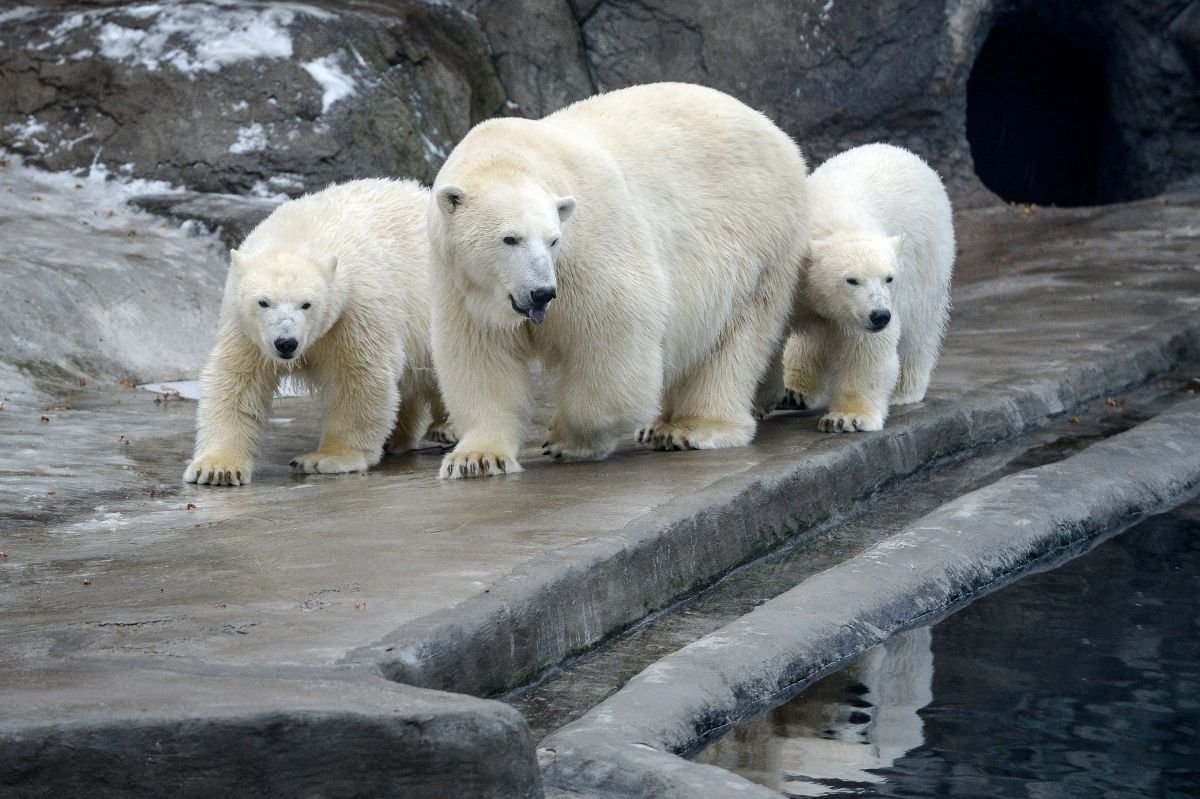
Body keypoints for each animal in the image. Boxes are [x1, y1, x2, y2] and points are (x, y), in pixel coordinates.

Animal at [182, 176, 451, 482]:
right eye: (263, 302)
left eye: (306, 304)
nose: (286, 343)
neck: (302, 231)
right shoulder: (247, 329)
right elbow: (237, 379)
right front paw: (217, 468)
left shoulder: (355, 308)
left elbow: (358, 376)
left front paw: (326, 458)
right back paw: (397, 438)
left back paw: (445, 428)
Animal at [427, 81, 811, 479]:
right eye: (509, 238)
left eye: (553, 239)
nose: (542, 293)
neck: (517, 155)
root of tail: (778, 133)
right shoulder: (463, 284)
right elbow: (480, 358)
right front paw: (476, 459)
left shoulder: (588, 250)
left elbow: (615, 331)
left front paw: (564, 438)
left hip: (756, 239)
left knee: (736, 333)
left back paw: (692, 427)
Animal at [777, 142, 955, 429]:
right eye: (851, 280)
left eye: (888, 278)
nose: (879, 315)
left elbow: (865, 348)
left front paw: (846, 418)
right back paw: (794, 393)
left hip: (927, 258)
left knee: (919, 327)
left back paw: (904, 390)